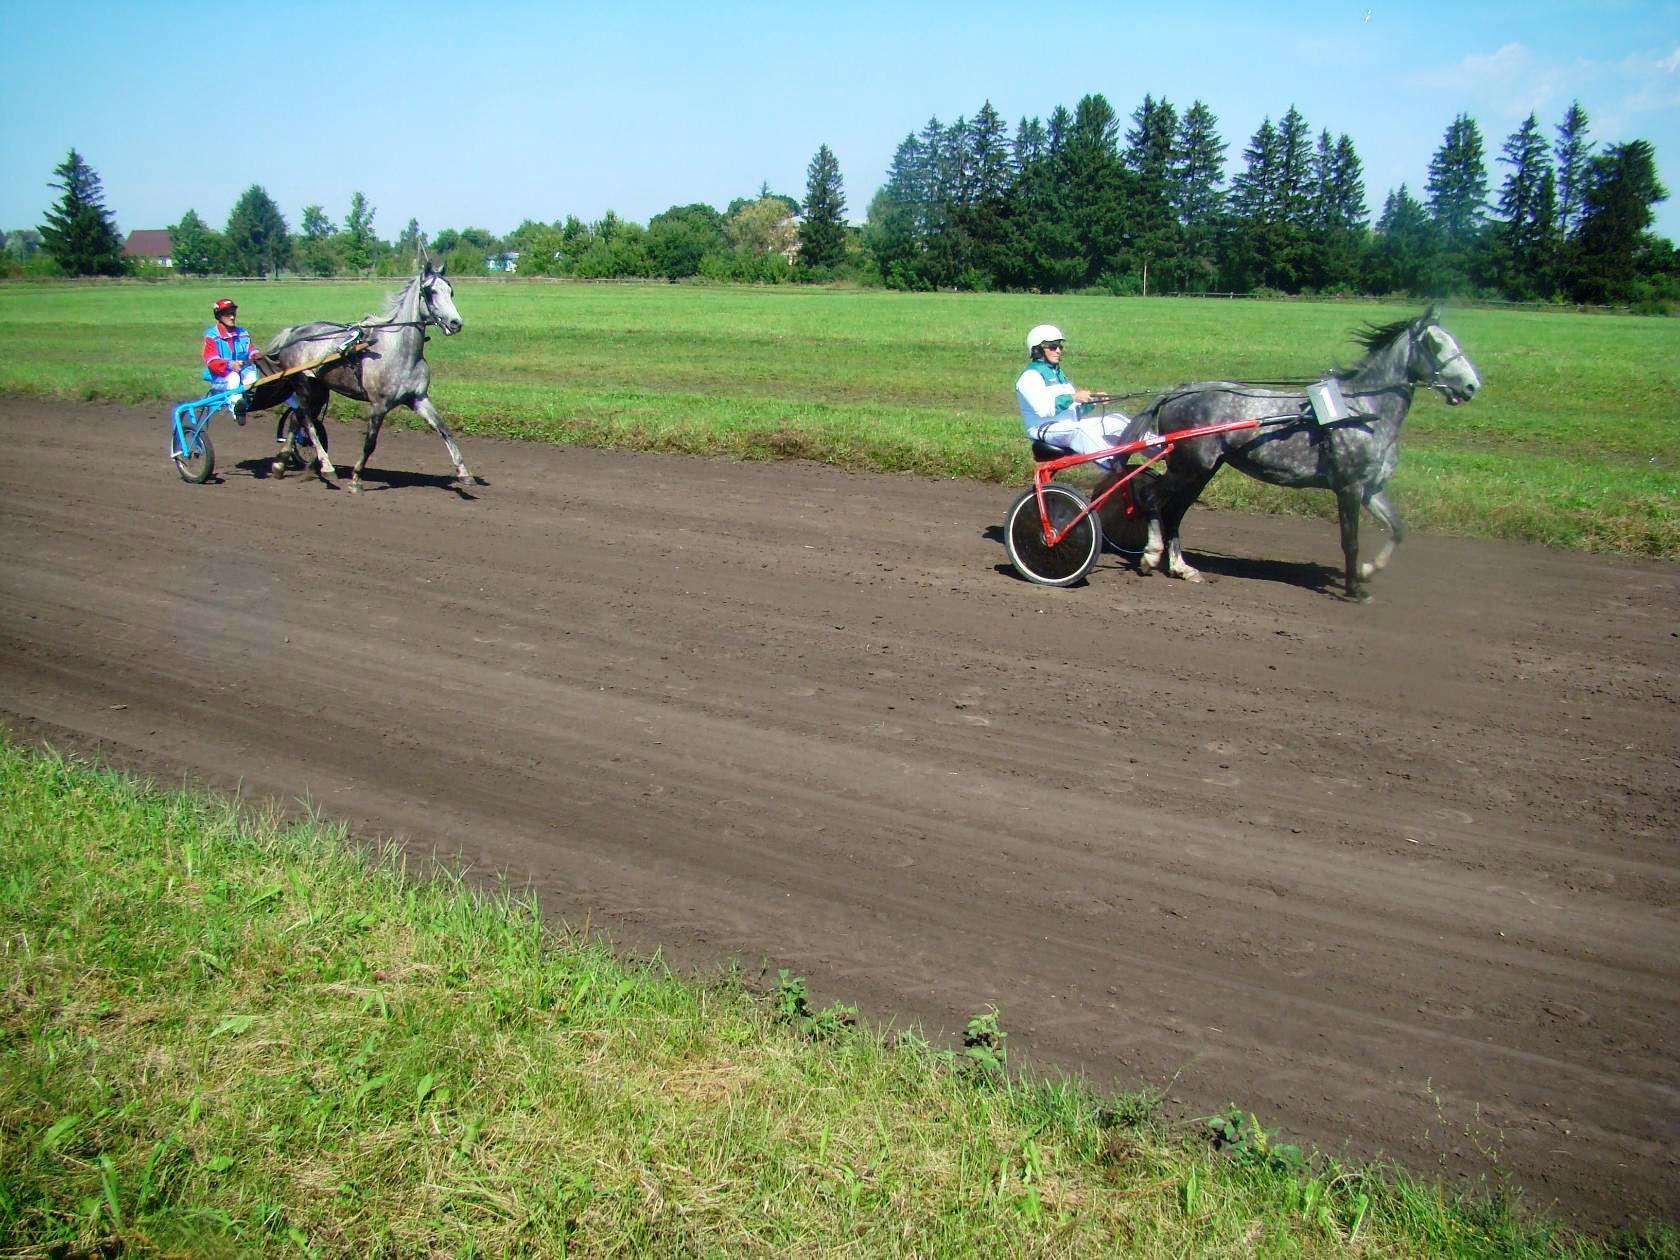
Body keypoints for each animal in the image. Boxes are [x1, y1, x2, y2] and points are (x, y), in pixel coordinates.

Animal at [263, 257, 473, 493]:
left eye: (451, 291)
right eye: (431, 292)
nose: (456, 323)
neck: (399, 351)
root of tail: (293, 332)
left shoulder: (418, 398)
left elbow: (444, 428)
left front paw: (464, 473)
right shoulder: (379, 404)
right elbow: (370, 443)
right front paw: (356, 479)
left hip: (320, 390)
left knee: (296, 417)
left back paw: (280, 464)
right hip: (303, 385)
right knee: (307, 421)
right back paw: (326, 466)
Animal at [1128, 304, 1485, 601]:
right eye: (1435, 344)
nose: (1471, 387)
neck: (1362, 410)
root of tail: (1178, 391)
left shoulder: (1371, 488)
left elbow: (1398, 529)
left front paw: (1367, 571)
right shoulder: (1349, 487)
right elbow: (1350, 540)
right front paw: (1354, 589)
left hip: (1202, 471)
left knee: (1175, 511)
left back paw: (1181, 567)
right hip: (1188, 467)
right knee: (1151, 496)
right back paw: (1150, 555)